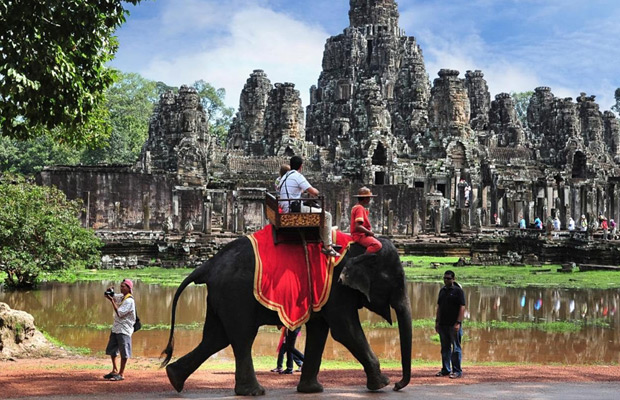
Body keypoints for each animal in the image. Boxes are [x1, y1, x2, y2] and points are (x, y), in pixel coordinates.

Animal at [161, 236, 412, 396]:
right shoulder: (335, 288)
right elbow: (344, 329)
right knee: (241, 337)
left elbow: (320, 330)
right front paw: (381, 385)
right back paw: (253, 392)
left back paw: (174, 378)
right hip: (235, 294)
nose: (398, 385)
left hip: (221, 296)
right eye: (397, 280)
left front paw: (312, 390)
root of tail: (208, 265)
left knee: (216, 338)